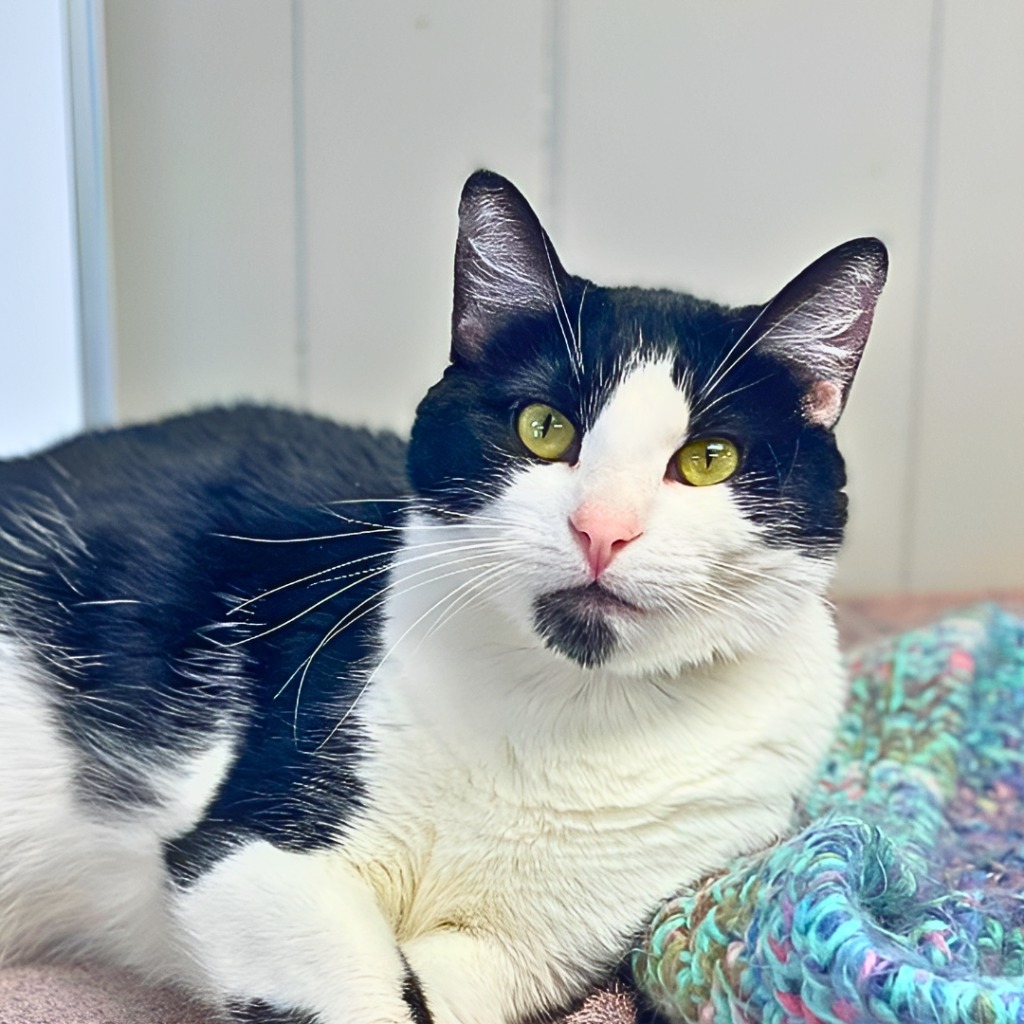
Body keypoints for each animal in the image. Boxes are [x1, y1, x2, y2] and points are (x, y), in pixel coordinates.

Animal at [0, 172, 884, 1019]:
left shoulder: (521, 954)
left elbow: (435, 995)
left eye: (708, 459)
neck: (566, 721)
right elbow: (360, 988)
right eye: (543, 430)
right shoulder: (253, 852)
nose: (602, 529)